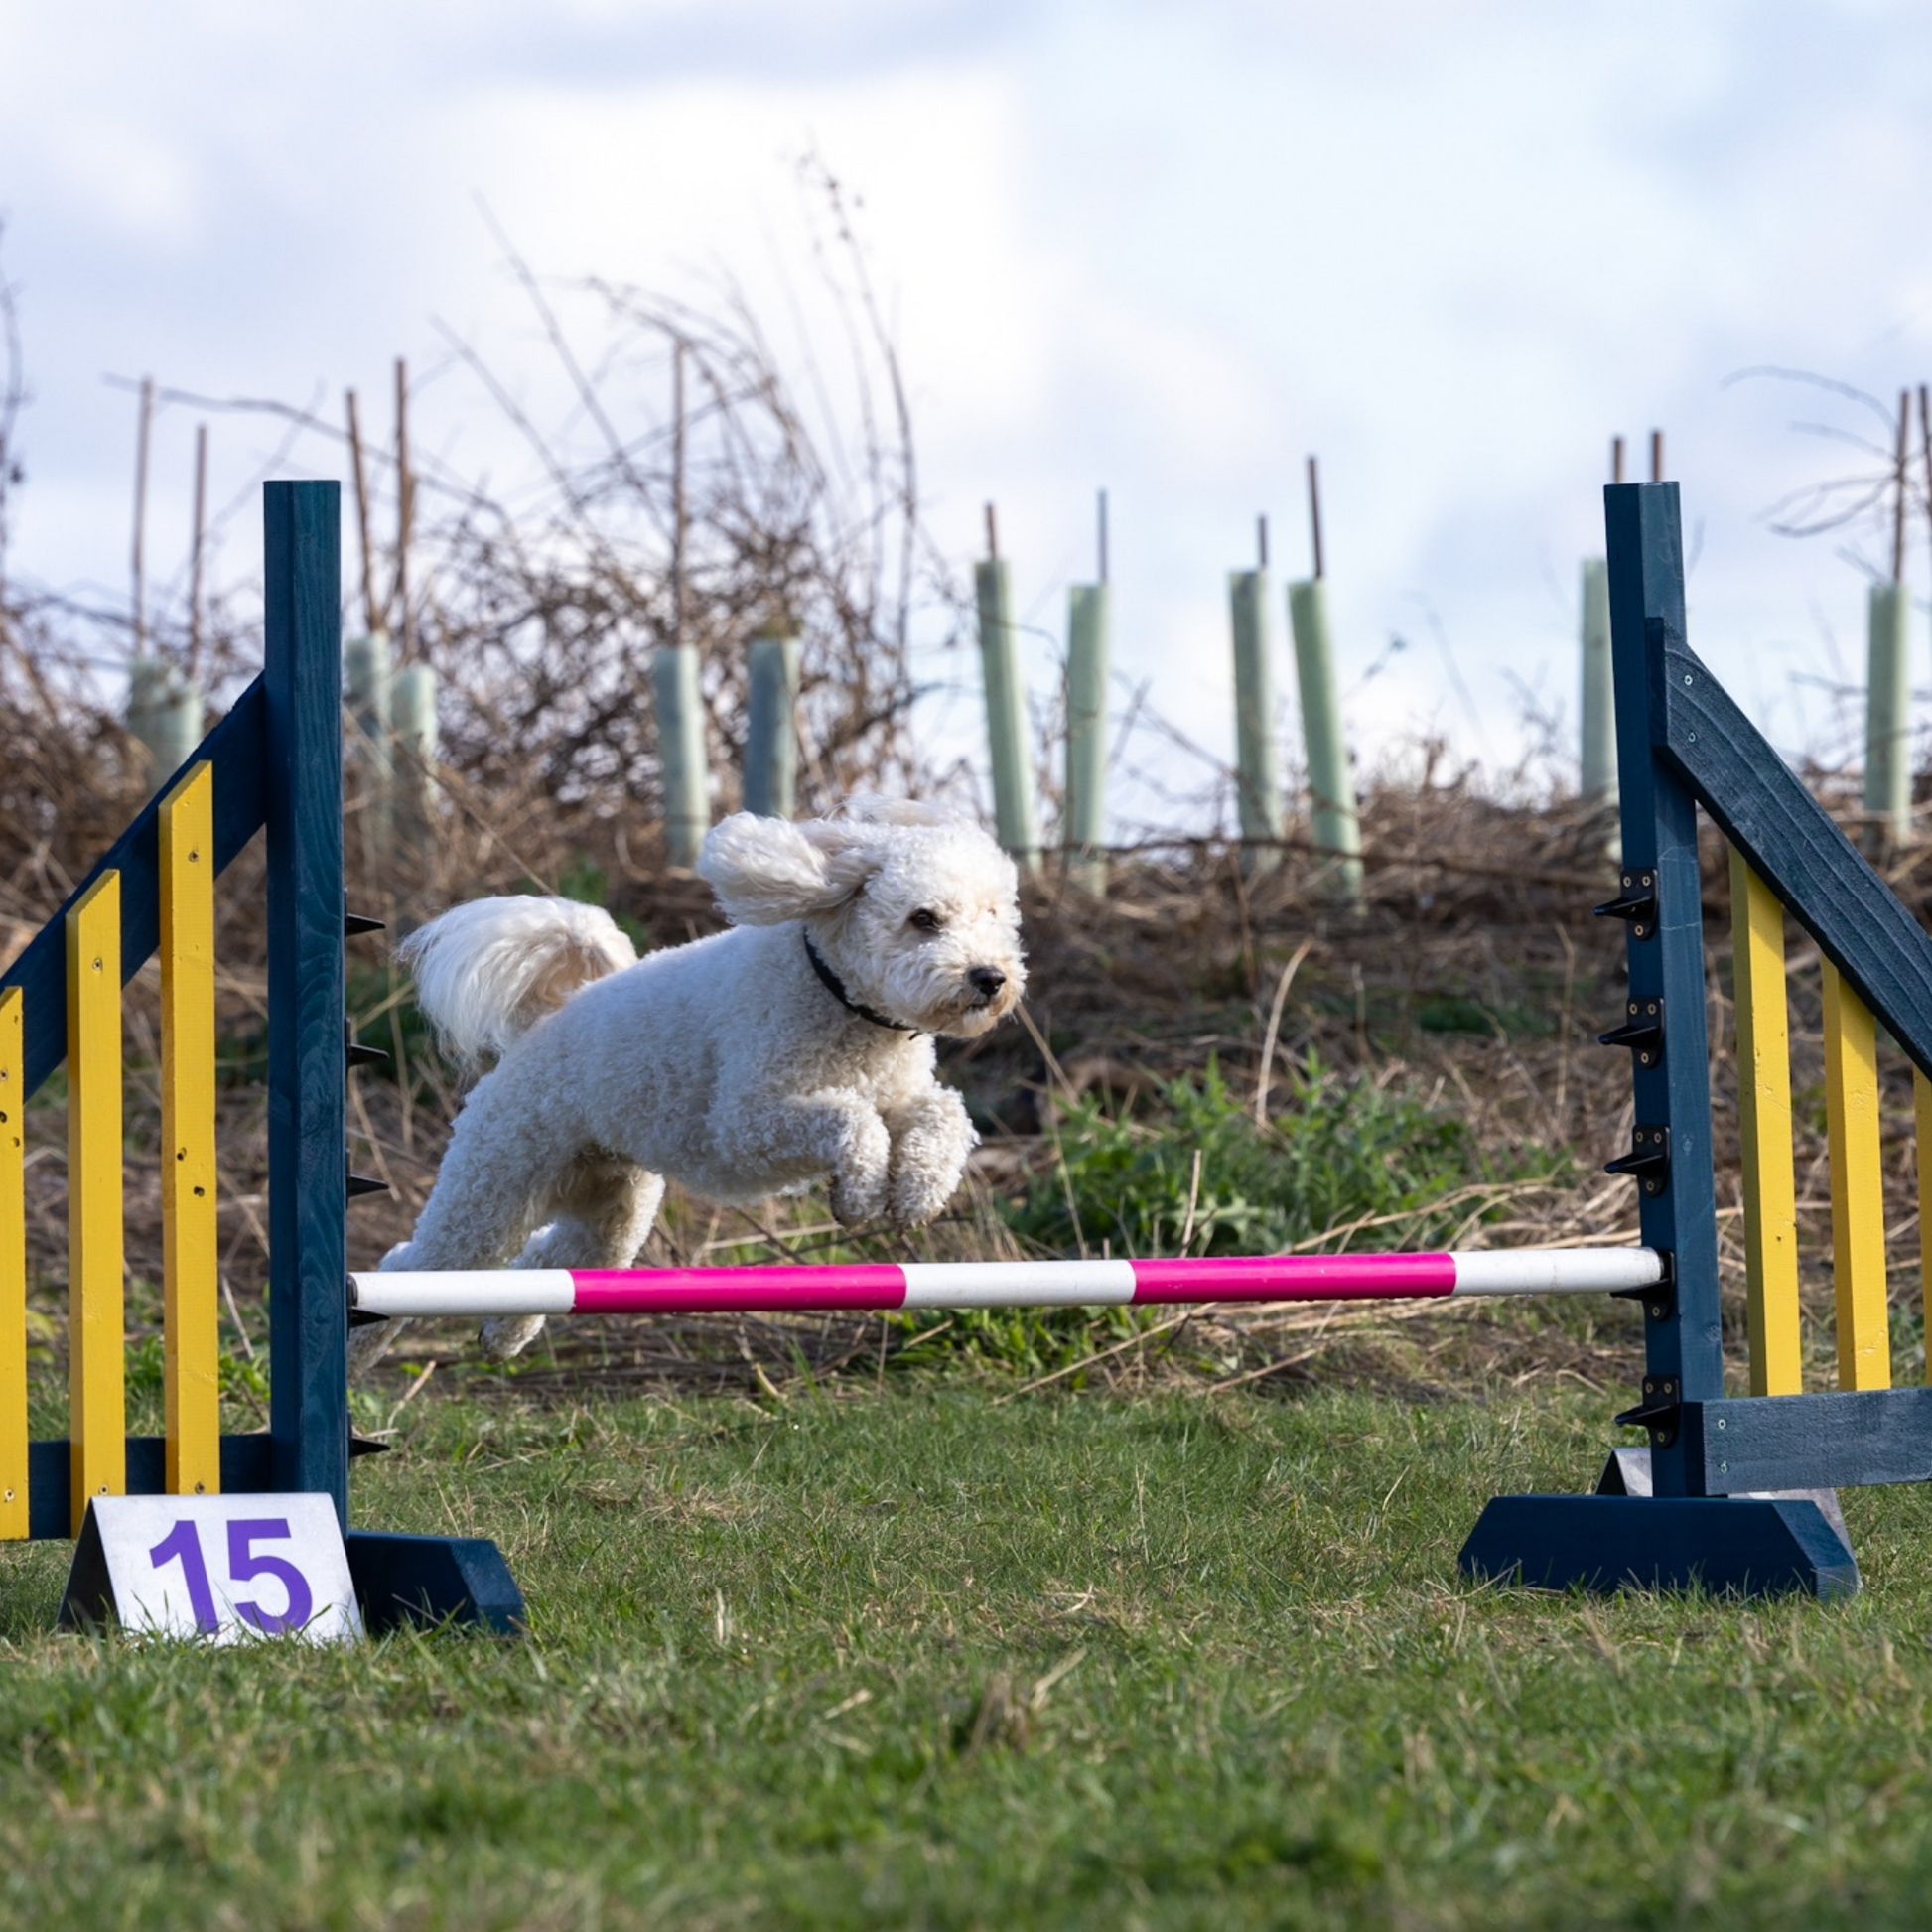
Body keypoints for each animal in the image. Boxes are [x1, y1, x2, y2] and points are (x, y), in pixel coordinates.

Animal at [358, 799, 1028, 1375]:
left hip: (610, 1211)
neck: (839, 998)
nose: (989, 977)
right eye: (923, 919)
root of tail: (545, 1023)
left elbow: (942, 1114)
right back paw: (364, 1350)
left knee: (550, 1261)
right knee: (414, 1263)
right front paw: (860, 1195)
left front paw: (918, 1192)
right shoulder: (746, 1122)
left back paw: (502, 1336)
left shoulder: (900, 1096)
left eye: (993, 914)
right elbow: (852, 1121)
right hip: (490, 1188)